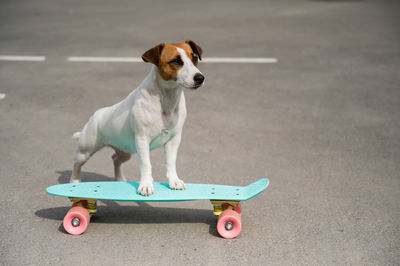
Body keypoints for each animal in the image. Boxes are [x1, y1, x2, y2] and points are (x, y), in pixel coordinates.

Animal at [69, 41, 205, 195]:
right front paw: (146, 184)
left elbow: (170, 162)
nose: (200, 78)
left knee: (115, 159)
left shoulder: (174, 139)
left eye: (195, 58)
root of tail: (96, 114)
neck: (166, 99)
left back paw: (120, 179)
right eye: (175, 61)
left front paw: (174, 181)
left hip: (126, 150)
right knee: (77, 163)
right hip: (85, 149)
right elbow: (146, 163)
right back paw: (74, 181)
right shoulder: (142, 139)